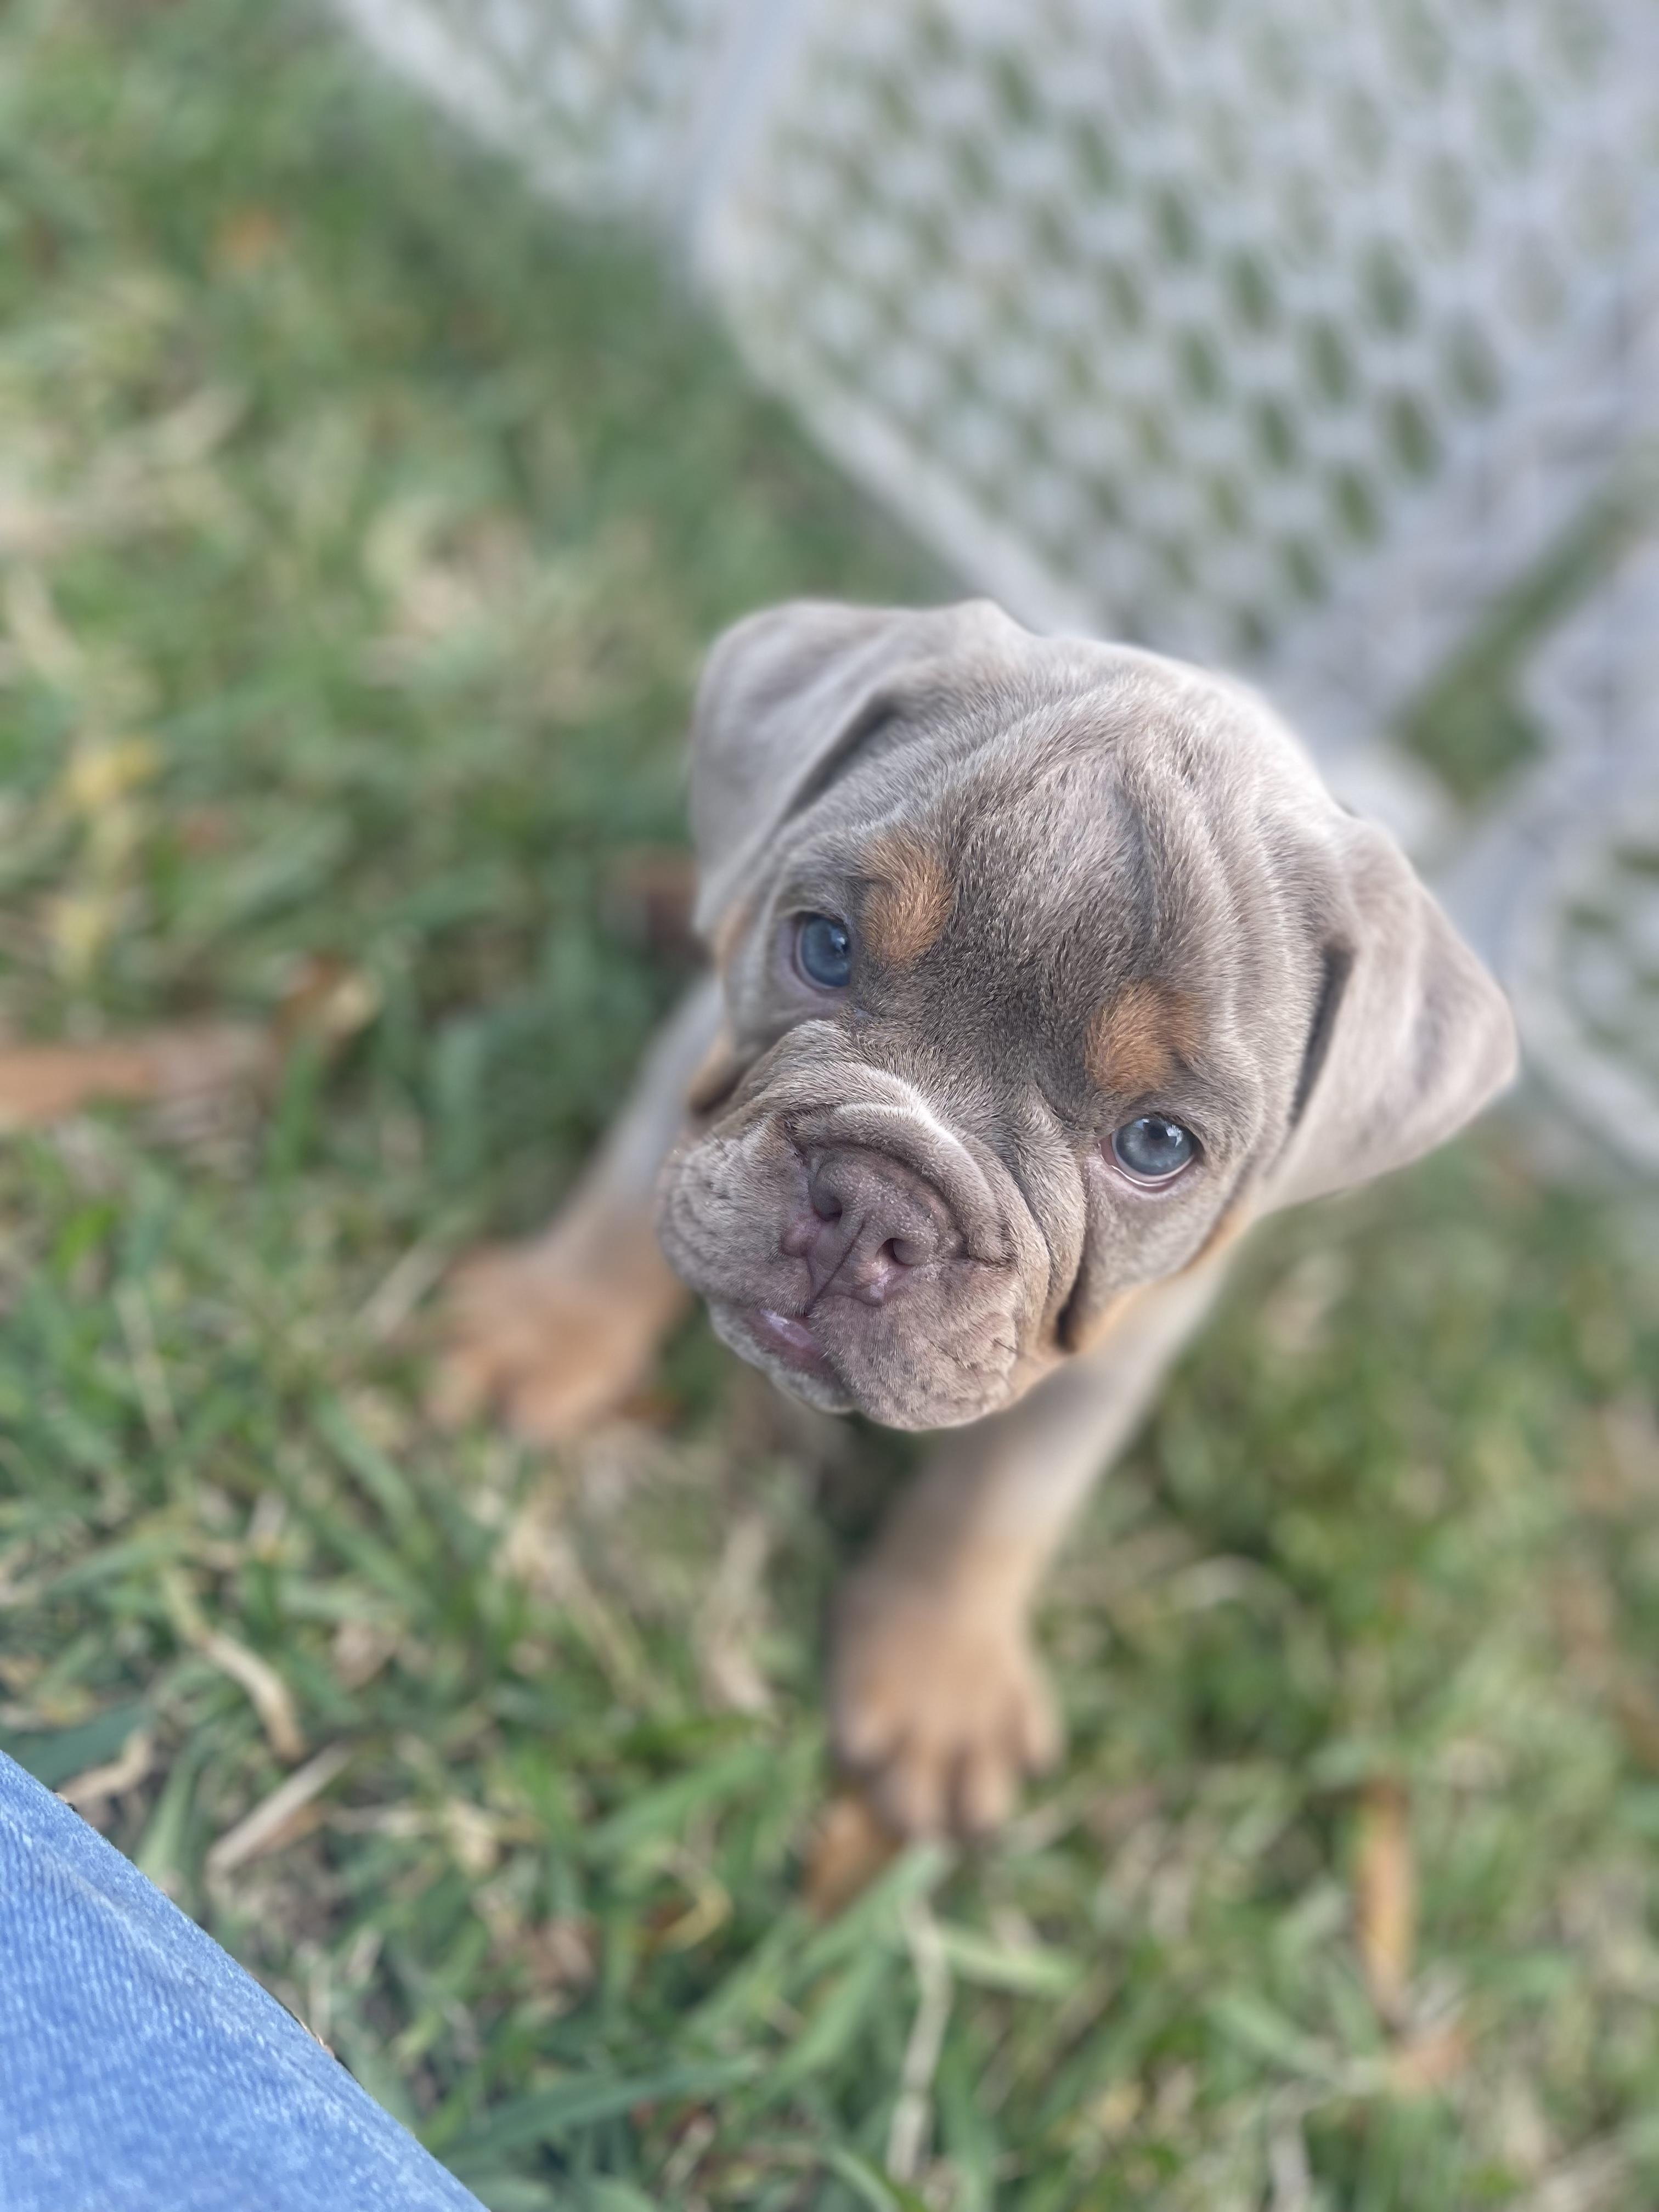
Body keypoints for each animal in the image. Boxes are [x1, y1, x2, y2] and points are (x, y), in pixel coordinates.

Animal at [439, 598, 1518, 1840]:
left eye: (1155, 1146)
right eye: (824, 947)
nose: (873, 1205)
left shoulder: (1126, 1343)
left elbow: (1007, 1496)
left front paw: (936, 1675)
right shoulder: (702, 1061)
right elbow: (627, 1200)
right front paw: (537, 1332)